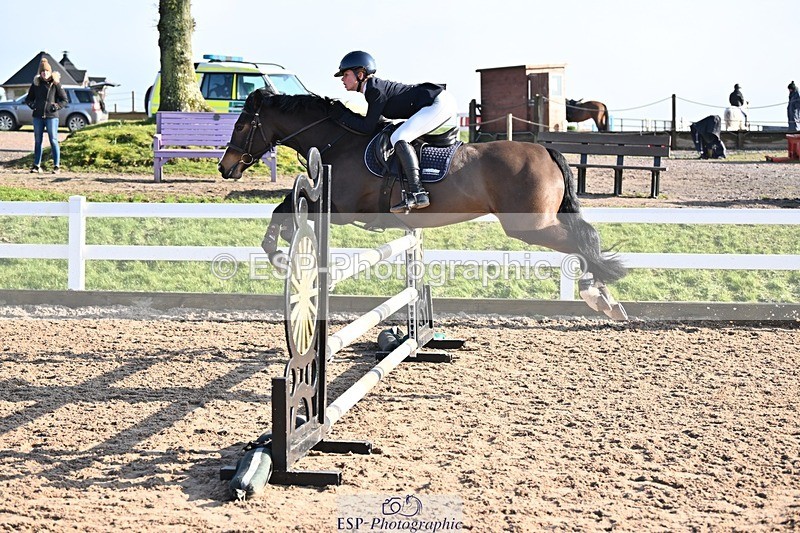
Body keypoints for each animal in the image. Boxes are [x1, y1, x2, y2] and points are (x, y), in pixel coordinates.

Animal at [218, 89, 628, 319]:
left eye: (240, 125)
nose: (226, 168)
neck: (338, 141)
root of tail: (545, 149)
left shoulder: (341, 208)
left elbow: (284, 210)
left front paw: (278, 255)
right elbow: (284, 208)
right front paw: (283, 251)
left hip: (528, 226)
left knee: (583, 241)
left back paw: (597, 295)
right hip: (534, 224)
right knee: (582, 240)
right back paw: (603, 296)